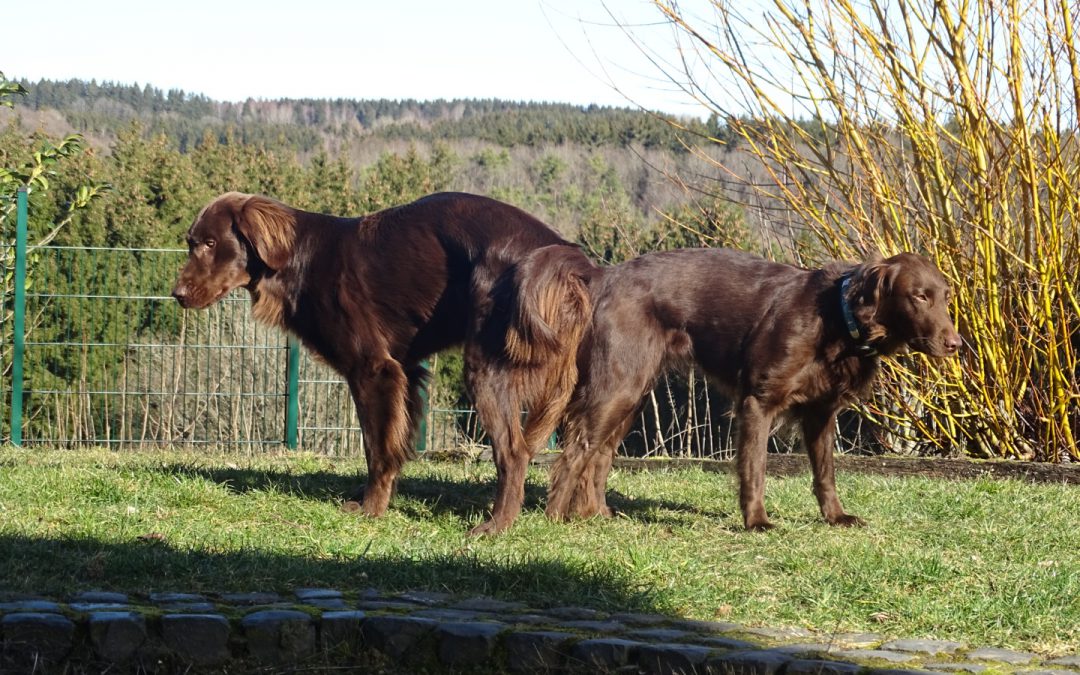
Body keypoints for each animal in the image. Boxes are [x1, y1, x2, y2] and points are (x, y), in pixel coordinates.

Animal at [170, 190, 591, 531]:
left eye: (210, 242)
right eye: (191, 243)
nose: (177, 295)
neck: (300, 258)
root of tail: (560, 250)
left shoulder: (373, 369)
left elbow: (376, 448)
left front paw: (371, 508)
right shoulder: (407, 370)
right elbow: (394, 445)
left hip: (486, 369)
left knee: (514, 453)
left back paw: (495, 525)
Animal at [540, 245, 963, 529]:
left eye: (946, 297)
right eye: (919, 296)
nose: (956, 344)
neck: (836, 319)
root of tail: (603, 277)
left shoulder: (820, 414)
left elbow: (825, 473)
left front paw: (836, 516)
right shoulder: (758, 402)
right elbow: (755, 467)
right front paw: (757, 521)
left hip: (633, 393)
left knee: (599, 453)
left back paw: (598, 514)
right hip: (619, 385)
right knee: (577, 450)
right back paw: (556, 515)